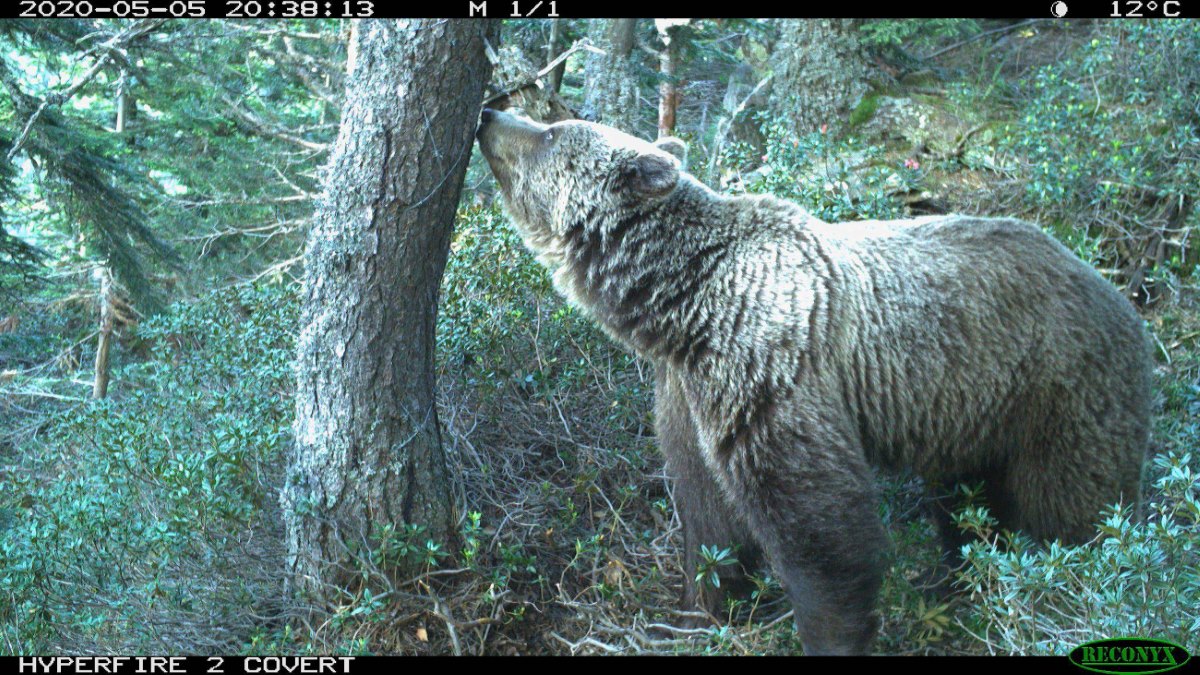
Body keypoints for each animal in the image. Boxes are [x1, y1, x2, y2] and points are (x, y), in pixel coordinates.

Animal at [472, 109, 1147, 653]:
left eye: (552, 131)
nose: (490, 112)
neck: (682, 306)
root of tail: (1118, 293)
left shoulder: (771, 365)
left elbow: (818, 522)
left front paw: (830, 633)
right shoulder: (687, 394)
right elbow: (706, 515)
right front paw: (696, 613)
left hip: (1057, 392)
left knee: (1071, 508)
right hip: (974, 414)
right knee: (965, 504)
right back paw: (956, 580)